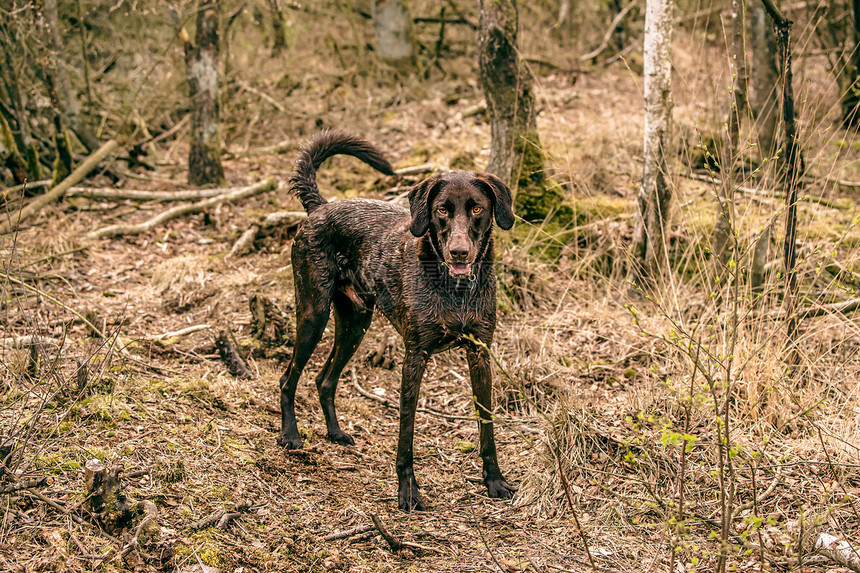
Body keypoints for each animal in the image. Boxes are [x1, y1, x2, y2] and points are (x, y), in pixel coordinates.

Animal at [278, 132, 512, 512]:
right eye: (442, 209)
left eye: (477, 208)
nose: (459, 252)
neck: (456, 289)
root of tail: (319, 207)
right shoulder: (414, 357)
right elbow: (407, 429)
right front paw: (408, 490)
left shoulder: (480, 353)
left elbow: (486, 425)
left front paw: (494, 480)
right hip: (314, 314)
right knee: (289, 378)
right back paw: (290, 435)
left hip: (356, 323)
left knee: (324, 380)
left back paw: (335, 433)